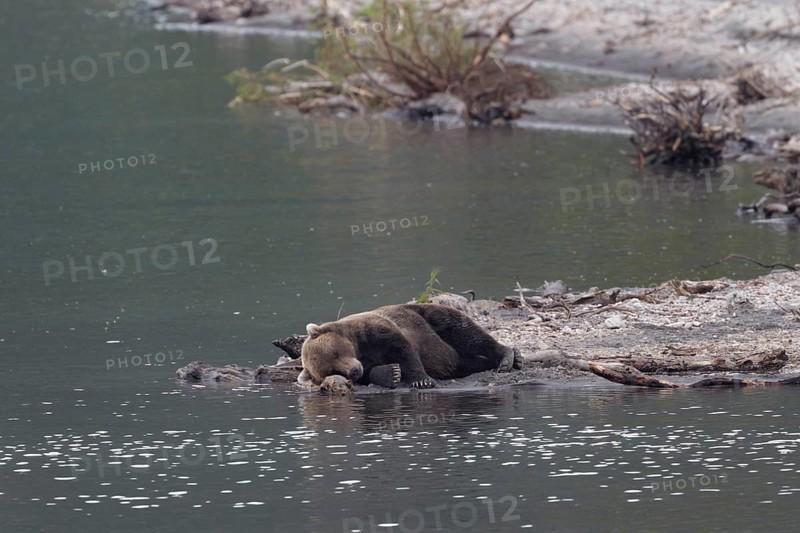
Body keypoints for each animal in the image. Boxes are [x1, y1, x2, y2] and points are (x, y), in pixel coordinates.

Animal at [297, 303, 522, 389]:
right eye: (331, 370)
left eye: (336, 352)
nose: (353, 370)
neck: (359, 347)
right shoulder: (367, 360)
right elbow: (374, 371)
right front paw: (392, 373)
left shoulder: (375, 329)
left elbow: (403, 349)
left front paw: (422, 380)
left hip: (426, 316)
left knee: (464, 331)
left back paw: (509, 357)